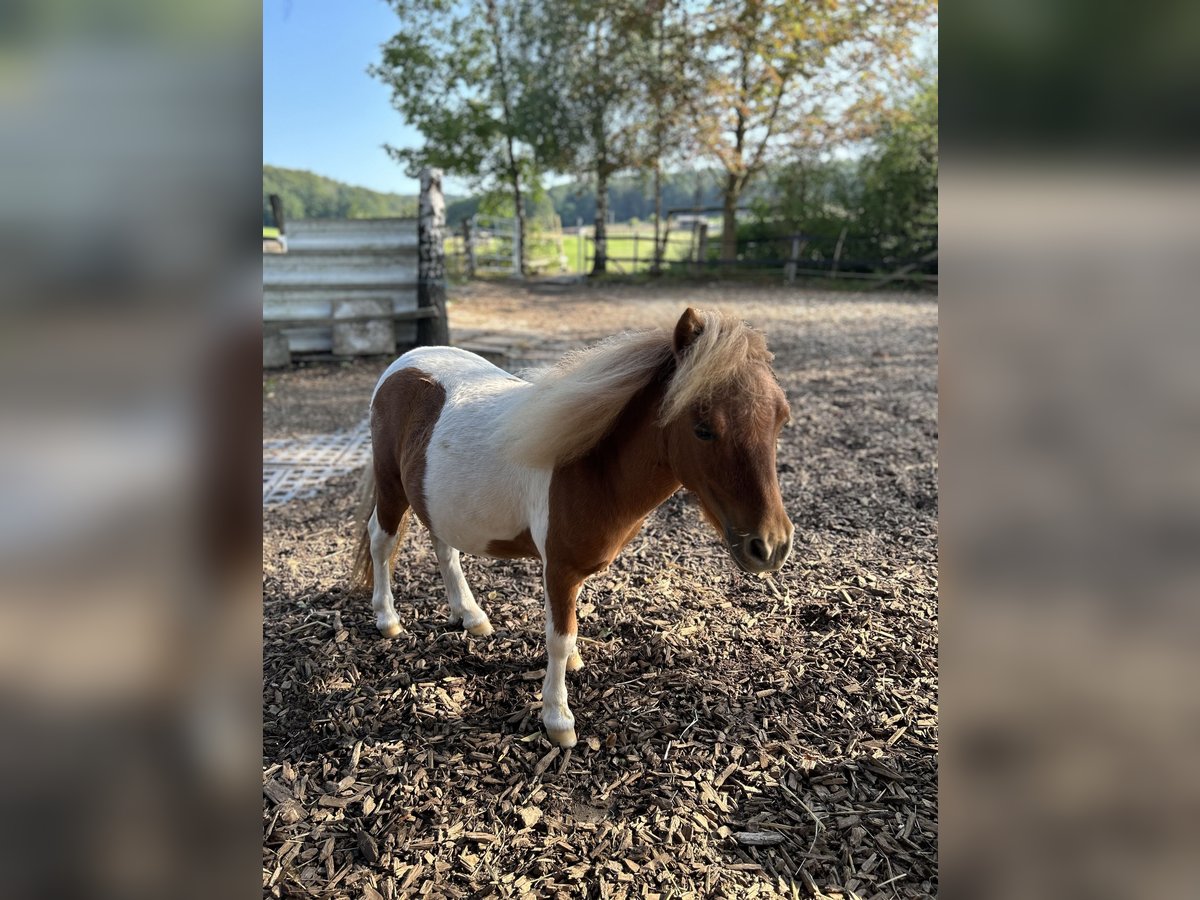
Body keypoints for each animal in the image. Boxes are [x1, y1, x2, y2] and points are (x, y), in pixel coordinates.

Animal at [350, 309, 792, 748]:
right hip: (391, 488)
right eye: (703, 428)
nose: (771, 546)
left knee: (445, 549)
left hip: (438, 502)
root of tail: (403, 364)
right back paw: (388, 619)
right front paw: (557, 717)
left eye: (780, 420)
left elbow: (568, 627)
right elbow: (559, 637)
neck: (591, 466)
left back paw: (470, 615)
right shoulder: (559, 569)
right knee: (381, 543)